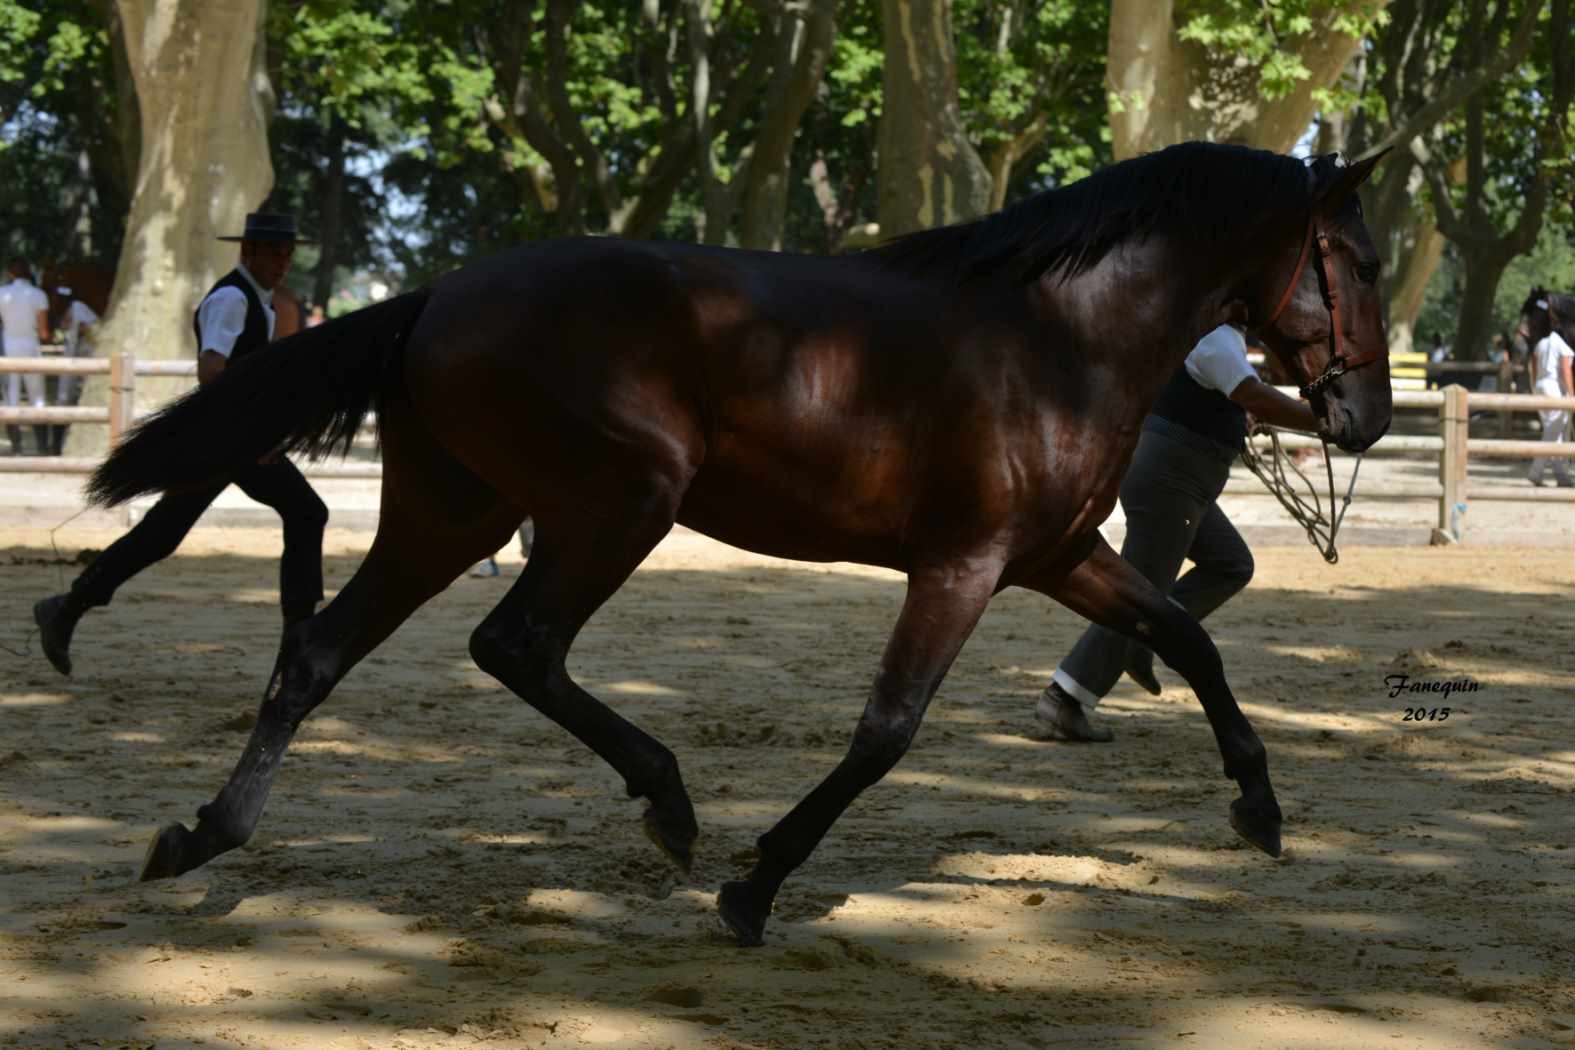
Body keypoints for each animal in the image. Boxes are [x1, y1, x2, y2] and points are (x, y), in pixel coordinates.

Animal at [89, 141, 1392, 950]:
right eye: (1362, 262)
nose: (1366, 417)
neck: (1061, 338)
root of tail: (438, 298)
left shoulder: (1058, 558)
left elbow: (1188, 638)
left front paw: (1260, 810)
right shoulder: (963, 567)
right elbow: (886, 732)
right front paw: (754, 888)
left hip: (451, 513)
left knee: (319, 652)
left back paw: (201, 836)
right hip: (621, 503)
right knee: (517, 643)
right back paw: (668, 804)